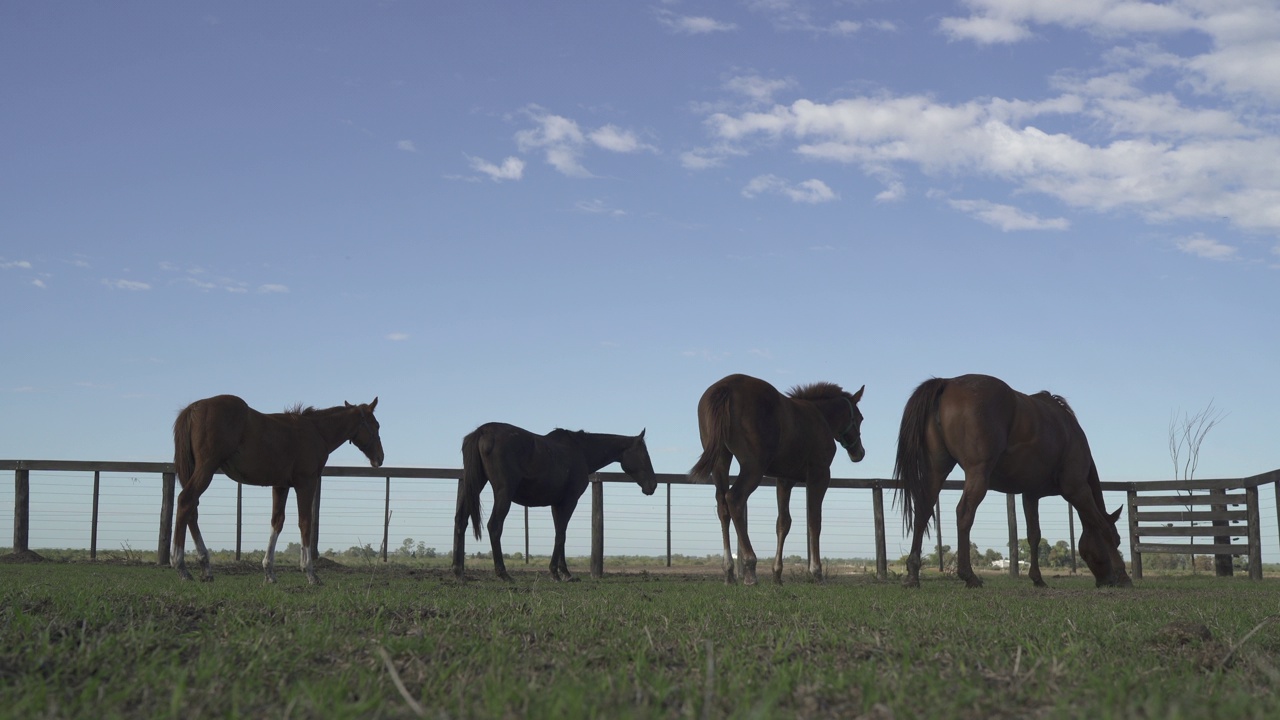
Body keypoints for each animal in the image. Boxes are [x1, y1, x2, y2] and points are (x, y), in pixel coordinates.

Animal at [174, 392, 384, 584]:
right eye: (376, 425)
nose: (380, 458)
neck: (316, 431)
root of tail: (194, 408)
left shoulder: (281, 485)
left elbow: (277, 521)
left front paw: (269, 572)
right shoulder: (306, 483)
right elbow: (305, 523)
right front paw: (309, 572)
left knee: (192, 511)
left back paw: (205, 568)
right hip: (206, 468)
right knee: (185, 501)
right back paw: (180, 566)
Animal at [450, 422, 655, 579]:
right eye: (644, 454)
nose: (652, 484)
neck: (580, 451)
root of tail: (482, 431)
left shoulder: (556, 504)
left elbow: (560, 533)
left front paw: (565, 572)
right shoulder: (570, 501)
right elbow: (561, 534)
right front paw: (555, 572)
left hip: (474, 485)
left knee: (461, 521)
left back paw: (459, 572)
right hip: (503, 494)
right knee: (494, 526)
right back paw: (503, 573)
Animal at [691, 376, 870, 584]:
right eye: (860, 418)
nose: (859, 453)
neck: (821, 416)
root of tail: (725, 387)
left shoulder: (785, 480)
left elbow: (783, 522)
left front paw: (777, 574)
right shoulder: (820, 474)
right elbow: (814, 521)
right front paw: (816, 572)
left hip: (720, 460)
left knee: (722, 506)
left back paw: (728, 572)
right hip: (753, 467)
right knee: (734, 499)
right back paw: (750, 568)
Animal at [901, 371, 1131, 586]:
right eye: (1118, 540)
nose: (1106, 581)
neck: (1069, 431)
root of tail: (948, 383)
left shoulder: (1030, 494)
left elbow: (1034, 535)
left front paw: (1037, 578)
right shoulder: (1077, 489)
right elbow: (1102, 525)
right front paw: (1124, 575)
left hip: (936, 471)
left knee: (922, 511)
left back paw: (913, 575)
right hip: (978, 474)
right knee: (964, 513)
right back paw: (969, 576)